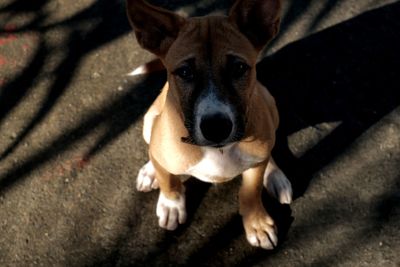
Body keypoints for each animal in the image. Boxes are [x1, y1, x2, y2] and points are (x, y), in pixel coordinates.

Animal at [126, 0, 292, 251]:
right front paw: (172, 203)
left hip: (270, 104)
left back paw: (275, 175)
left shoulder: (255, 161)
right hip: (149, 120)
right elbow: (168, 180)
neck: (219, 150)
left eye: (239, 68)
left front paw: (257, 224)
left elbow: (250, 192)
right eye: (185, 72)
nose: (216, 128)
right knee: (154, 154)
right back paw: (150, 171)